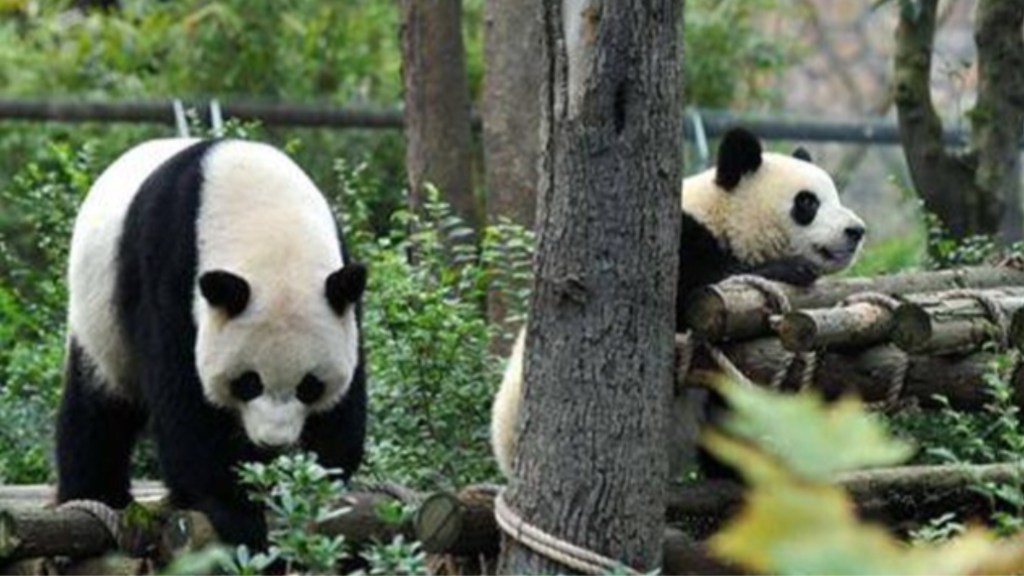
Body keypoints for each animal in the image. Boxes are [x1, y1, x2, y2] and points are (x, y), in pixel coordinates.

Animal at [57, 138, 368, 547]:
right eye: (248, 382)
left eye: (310, 386)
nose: (273, 443)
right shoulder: (170, 263)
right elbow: (183, 393)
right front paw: (232, 509)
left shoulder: (341, 287)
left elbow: (345, 402)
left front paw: (319, 483)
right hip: (98, 318)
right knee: (99, 407)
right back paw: (96, 493)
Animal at [491, 127, 866, 479]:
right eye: (807, 203)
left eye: (833, 195)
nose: (856, 230)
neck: (722, 216)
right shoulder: (681, 241)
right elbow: (690, 295)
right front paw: (792, 268)